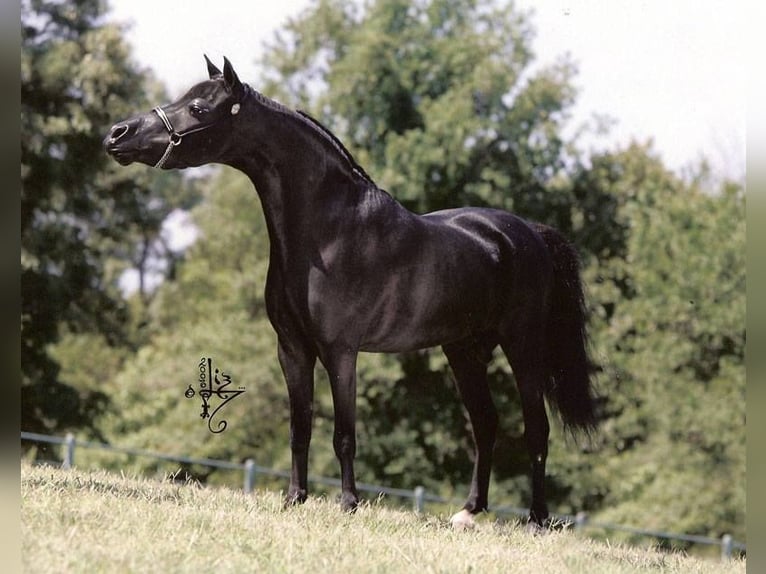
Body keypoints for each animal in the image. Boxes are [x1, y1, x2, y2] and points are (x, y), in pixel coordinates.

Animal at [105, 58, 600, 532]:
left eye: (198, 108)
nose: (117, 134)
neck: (329, 234)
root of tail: (528, 233)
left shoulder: (340, 350)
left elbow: (344, 432)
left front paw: (348, 503)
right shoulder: (292, 349)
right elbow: (300, 426)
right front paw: (294, 499)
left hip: (522, 348)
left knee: (536, 430)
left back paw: (537, 520)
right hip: (465, 350)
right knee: (486, 424)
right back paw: (467, 513)